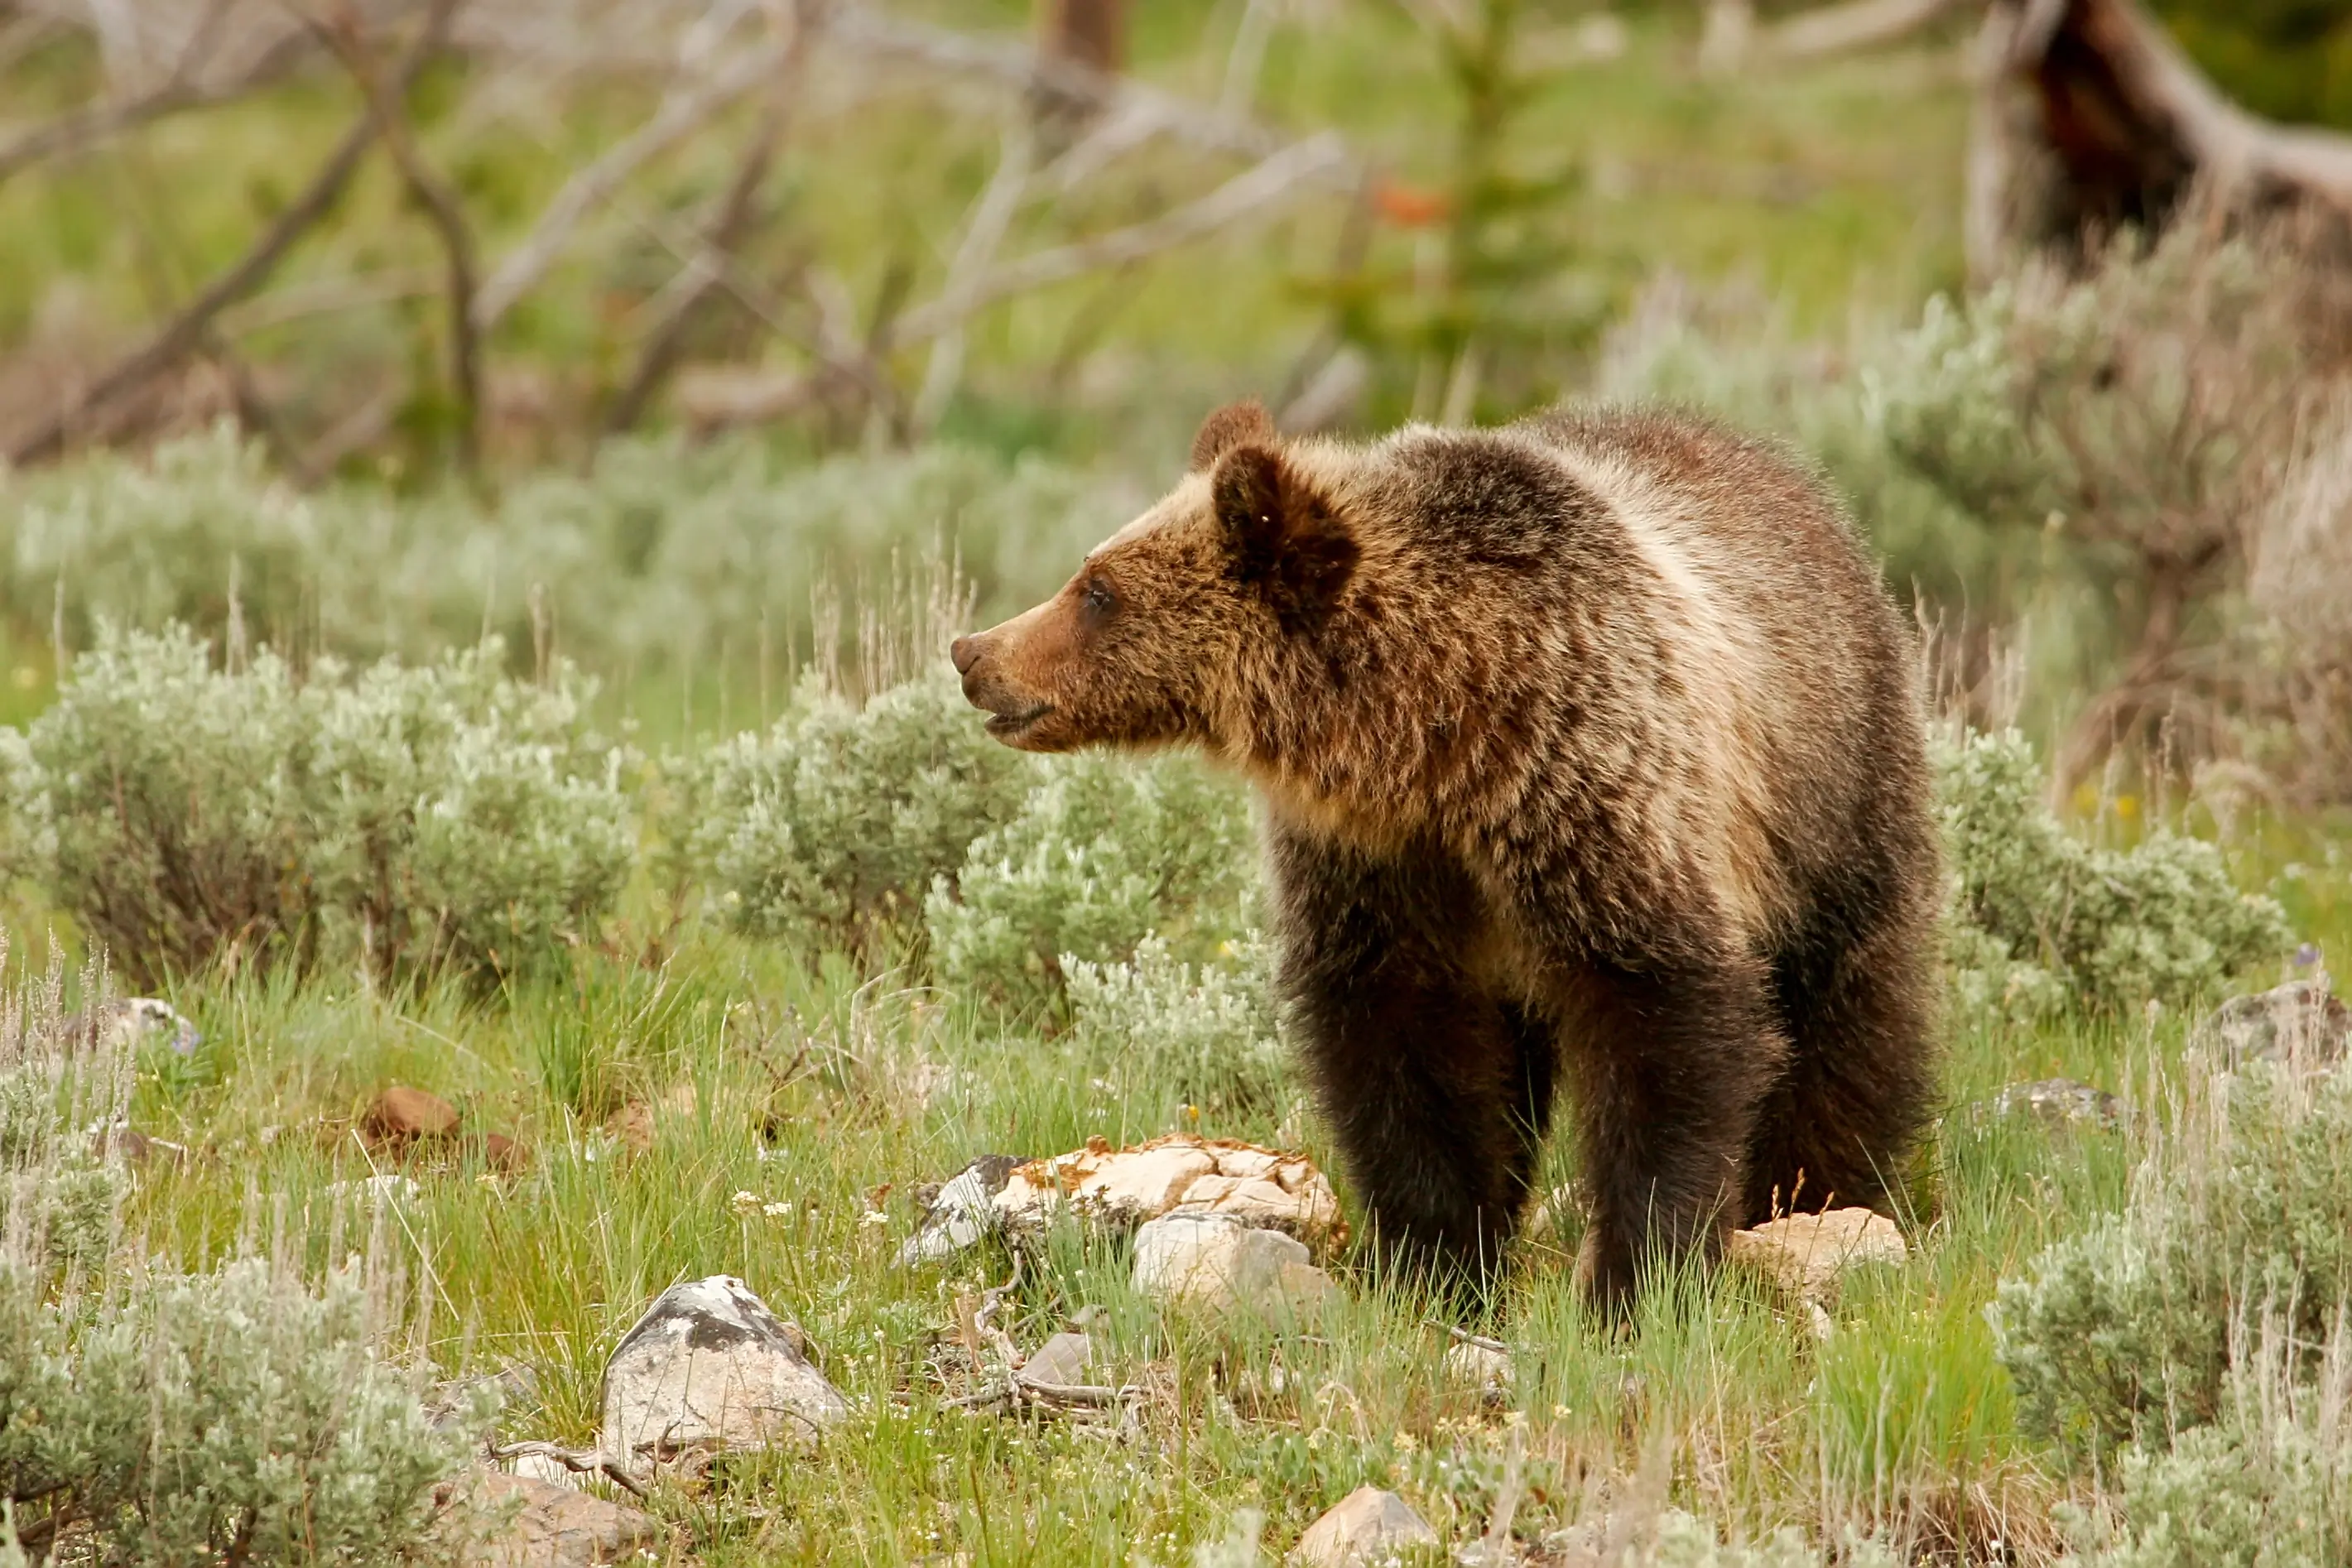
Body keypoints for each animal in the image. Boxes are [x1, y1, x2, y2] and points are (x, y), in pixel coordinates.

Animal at [949, 398, 1941, 1313]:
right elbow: (1407, 1054)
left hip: (1832, 790)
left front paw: (1636, 1280)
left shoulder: (1598, 791)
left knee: (1846, 1015)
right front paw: (1439, 1265)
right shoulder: (1379, 863)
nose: (972, 653)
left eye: (1097, 589)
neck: (1439, 742)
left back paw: (1816, 1193)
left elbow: (1666, 1025)